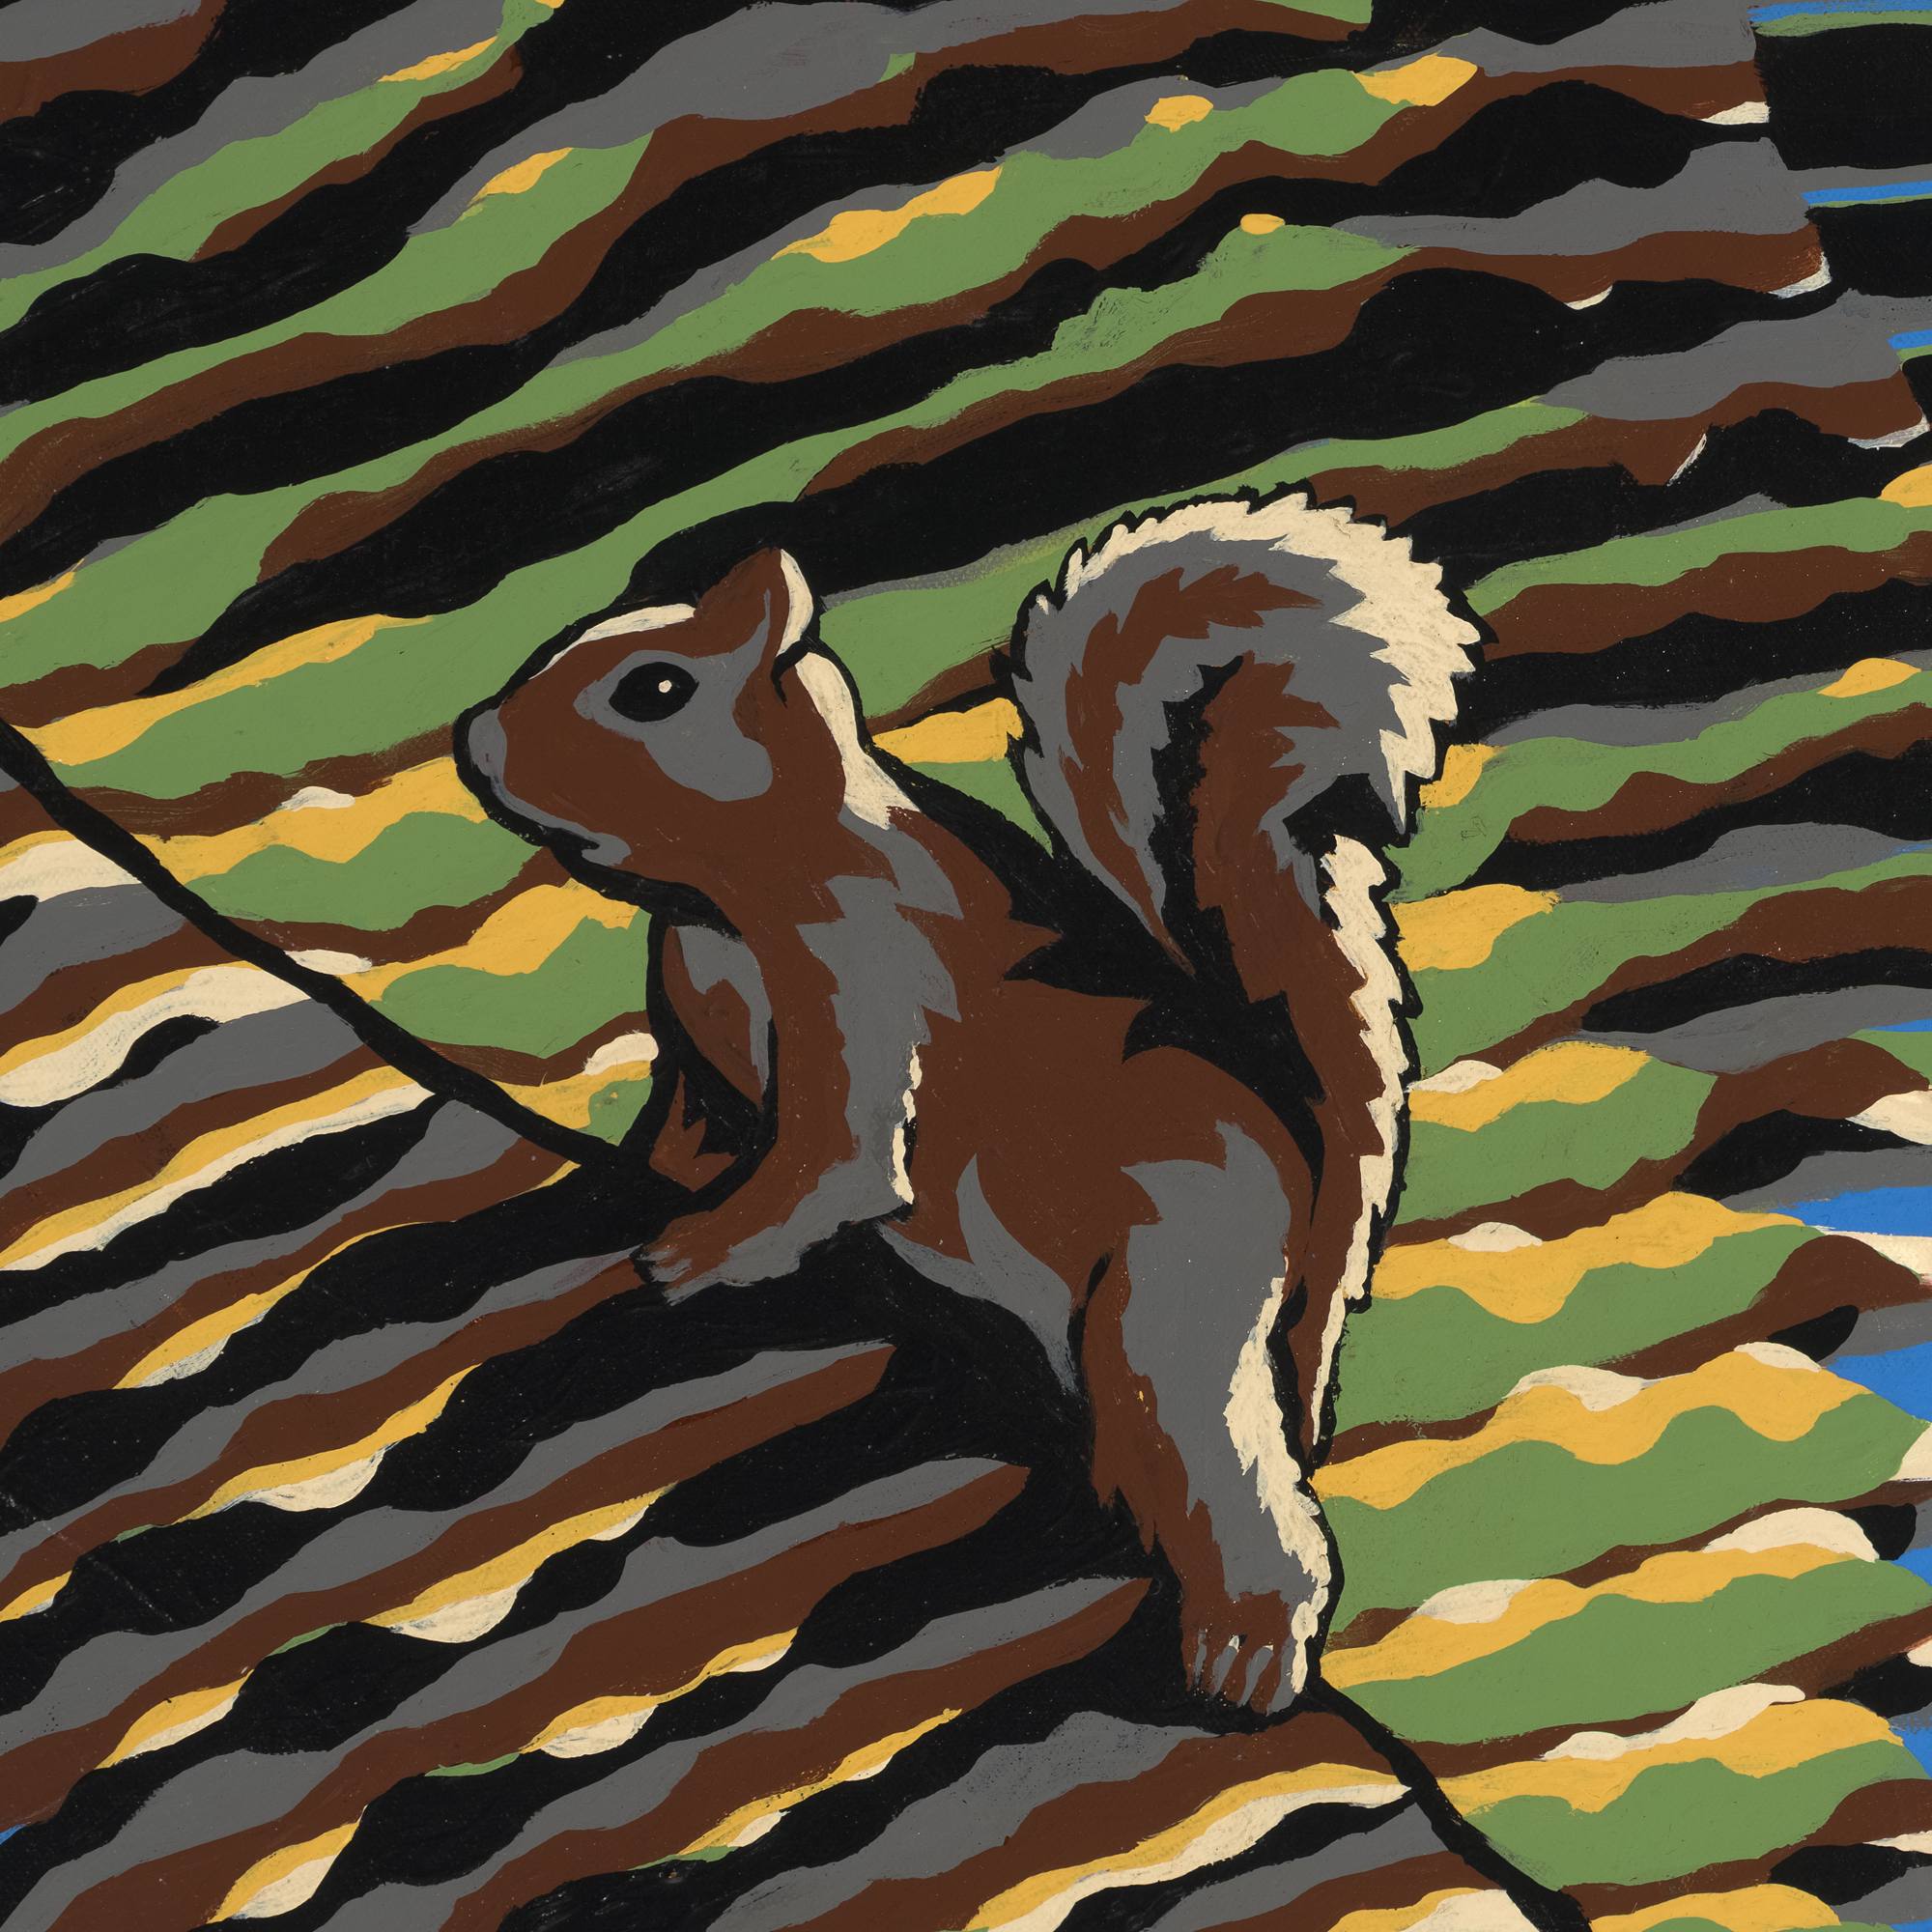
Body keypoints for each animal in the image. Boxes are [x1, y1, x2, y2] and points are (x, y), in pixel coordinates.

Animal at [459, 492, 1479, 1714]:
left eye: (653, 689)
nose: (473, 739)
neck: (732, 896)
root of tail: (1293, 1147)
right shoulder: (699, 1068)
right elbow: (683, 1137)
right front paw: (644, 1194)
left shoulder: (865, 985)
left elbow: (830, 1162)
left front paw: (697, 1252)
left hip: (1172, 1285)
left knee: (1216, 1457)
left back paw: (1244, 1645)